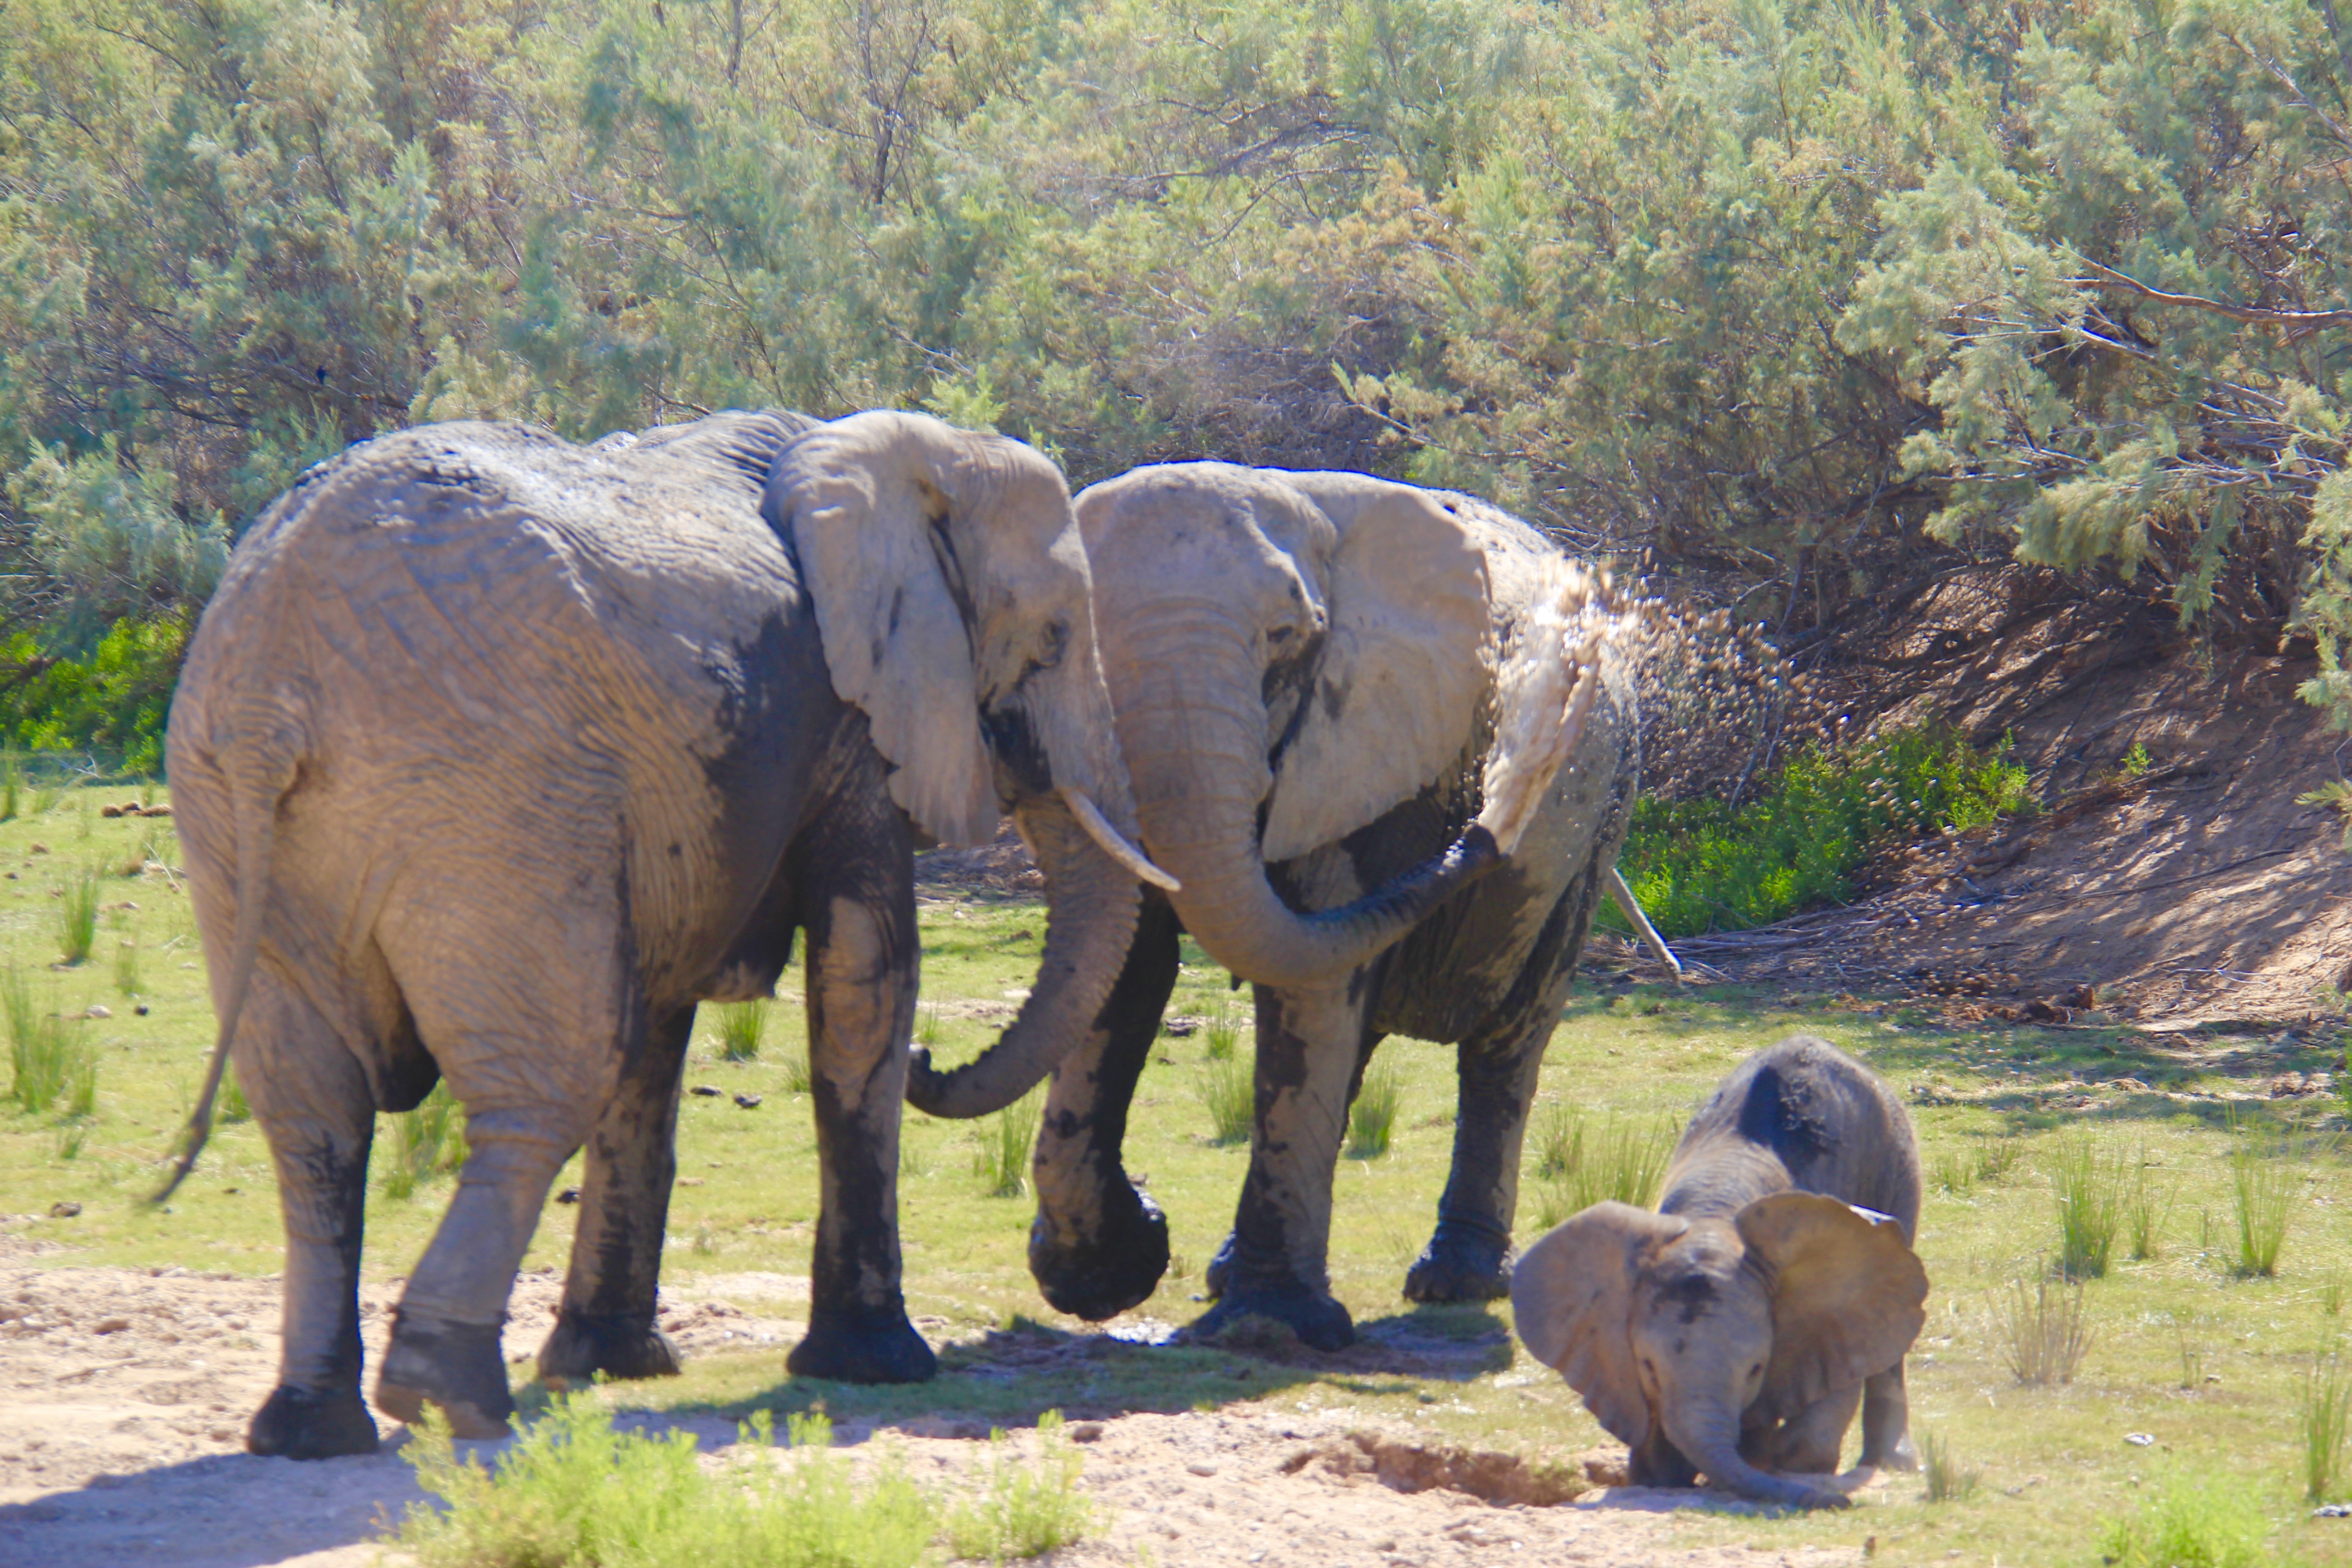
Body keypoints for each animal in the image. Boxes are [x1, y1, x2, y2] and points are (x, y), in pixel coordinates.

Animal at [159, 408, 1173, 1459]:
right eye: (1052, 638)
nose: (1147, 1233)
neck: (884, 449)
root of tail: (272, 675)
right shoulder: (847, 723)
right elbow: (866, 983)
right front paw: (879, 1365)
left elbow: (654, 1036)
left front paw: (611, 1364)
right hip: (488, 793)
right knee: (542, 1089)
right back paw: (451, 1401)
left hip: (231, 812)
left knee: (313, 1116)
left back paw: (310, 1431)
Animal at [997, 462, 1640, 1350]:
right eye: (1065, 640)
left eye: (1284, 637)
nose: (1486, 817)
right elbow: (1123, 960)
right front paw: (1111, 1269)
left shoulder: (1364, 735)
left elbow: (1309, 983)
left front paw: (1270, 1329)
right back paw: (1227, 1270)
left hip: (1597, 820)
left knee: (1508, 1038)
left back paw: (1454, 1282)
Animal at [1510, 1035, 1927, 1510]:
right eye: (1648, 1368)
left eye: (1756, 1370)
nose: (1841, 1504)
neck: (1714, 1219)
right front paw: (1661, 1473)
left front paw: (1781, 1460)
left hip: (1901, 1164)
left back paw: (1893, 1462)